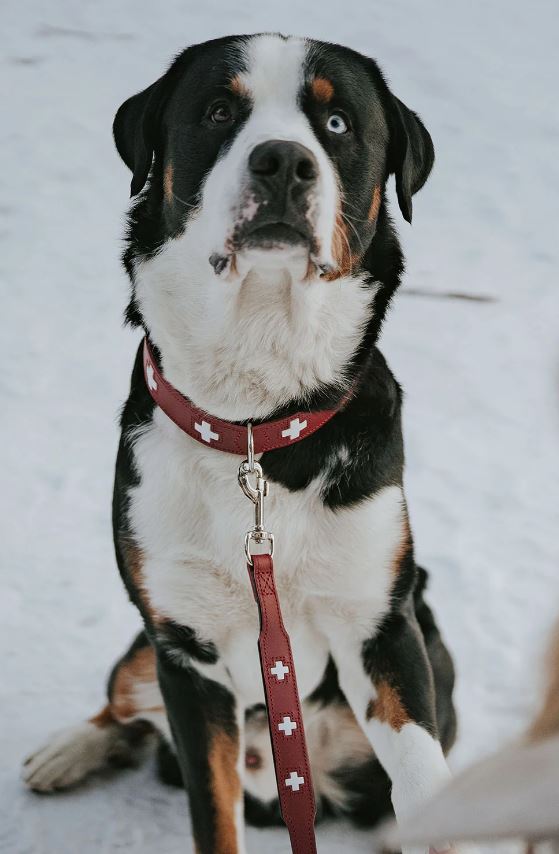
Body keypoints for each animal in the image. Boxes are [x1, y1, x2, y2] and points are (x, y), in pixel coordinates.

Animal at [24, 33, 466, 854]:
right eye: (219, 112)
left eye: (336, 122)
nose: (283, 162)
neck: (258, 425)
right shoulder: (186, 650)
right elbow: (213, 811)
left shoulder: (381, 627)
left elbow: (426, 783)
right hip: (146, 647)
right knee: (124, 703)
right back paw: (68, 750)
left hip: (432, 653)